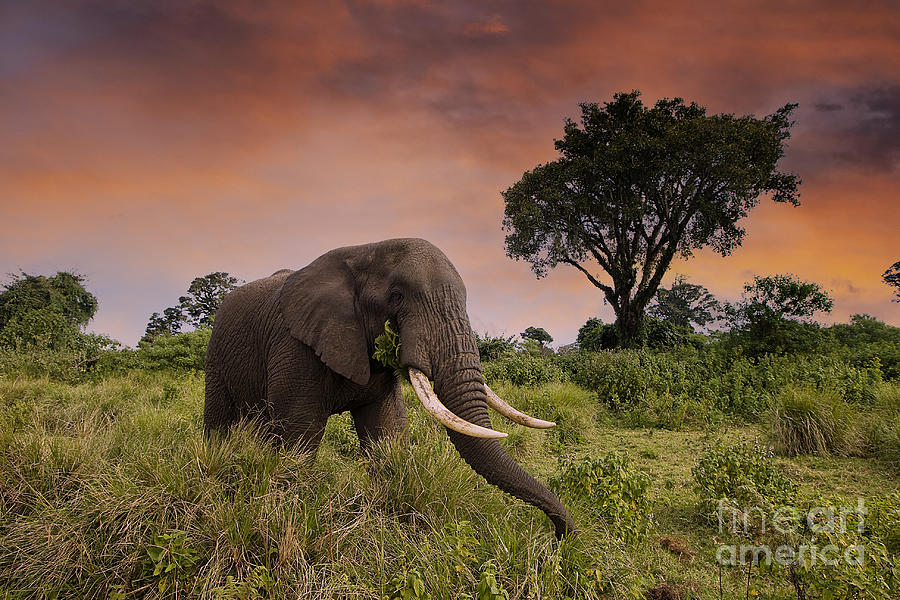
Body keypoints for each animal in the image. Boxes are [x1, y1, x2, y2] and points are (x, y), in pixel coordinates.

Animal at [202, 237, 576, 536]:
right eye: (396, 297)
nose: (559, 537)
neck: (363, 251)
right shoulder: (294, 347)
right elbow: (299, 438)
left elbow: (387, 434)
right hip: (216, 356)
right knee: (220, 421)